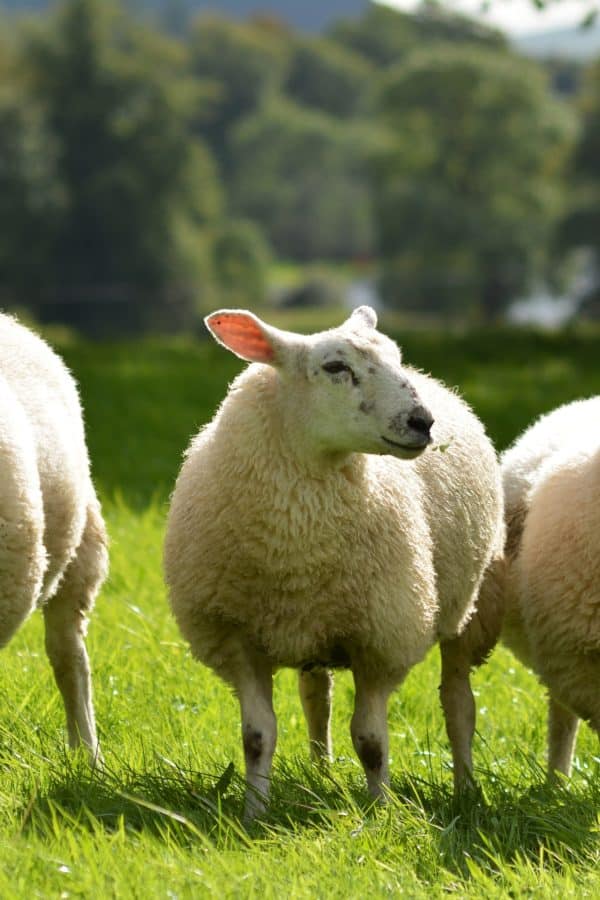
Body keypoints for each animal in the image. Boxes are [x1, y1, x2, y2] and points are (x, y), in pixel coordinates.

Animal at [164, 307, 504, 819]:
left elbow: (371, 741)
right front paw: (253, 814)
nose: (422, 421)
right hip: (313, 626)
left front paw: (380, 812)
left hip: (466, 608)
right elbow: (257, 737)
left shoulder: (380, 639)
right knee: (315, 697)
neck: (297, 542)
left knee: (458, 704)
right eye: (335, 367)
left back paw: (465, 788)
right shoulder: (238, 638)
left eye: (395, 358)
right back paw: (320, 773)